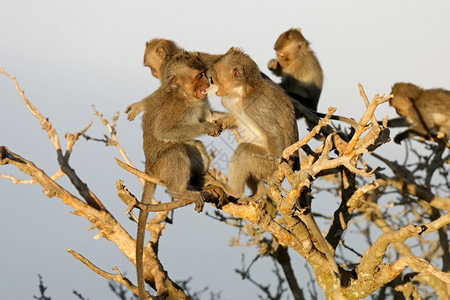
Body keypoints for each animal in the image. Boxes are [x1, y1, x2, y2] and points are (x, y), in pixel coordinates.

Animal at [136, 51, 222, 300]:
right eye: (199, 76)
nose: (208, 83)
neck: (186, 97)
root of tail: (149, 169)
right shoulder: (175, 108)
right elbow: (166, 131)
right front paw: (207, 128)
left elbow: (209, 115)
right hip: (161, 167)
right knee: (177, 149)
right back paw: (180, 190)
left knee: (195, 146)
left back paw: (200, 182)